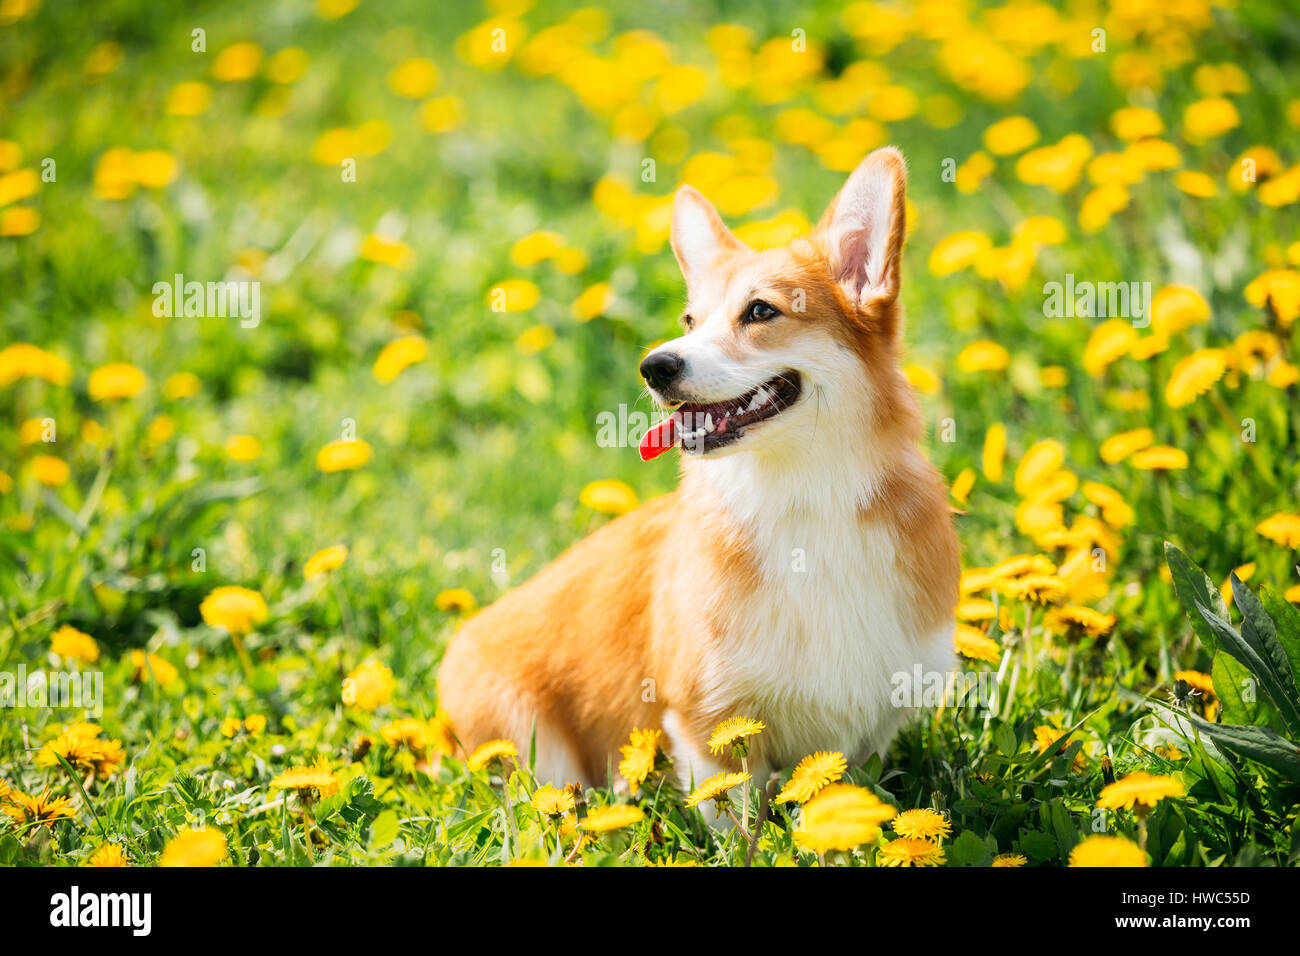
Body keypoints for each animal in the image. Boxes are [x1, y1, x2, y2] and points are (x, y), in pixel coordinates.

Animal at [441, 147, 961, 790]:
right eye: (690, 321)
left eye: (760, 311)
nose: (653, 366)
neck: (802, 498)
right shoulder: (707, 721)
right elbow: (733, 807)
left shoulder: (871, 729)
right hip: (534, 750)